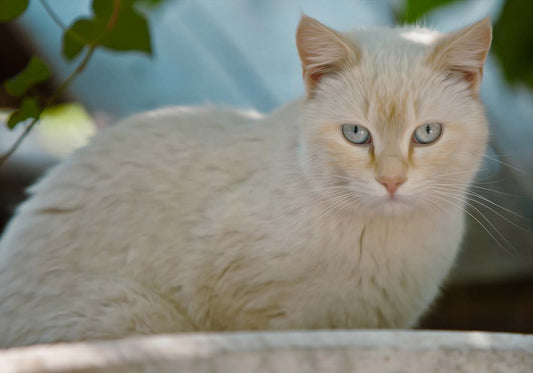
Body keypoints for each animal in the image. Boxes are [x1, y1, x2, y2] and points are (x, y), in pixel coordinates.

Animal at [0, 14, 490, 346]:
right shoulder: (252, 314)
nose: (391, 181)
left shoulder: (377, 325)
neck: (387, 239)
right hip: (134, 311)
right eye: (356, 134)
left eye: (427, 133)